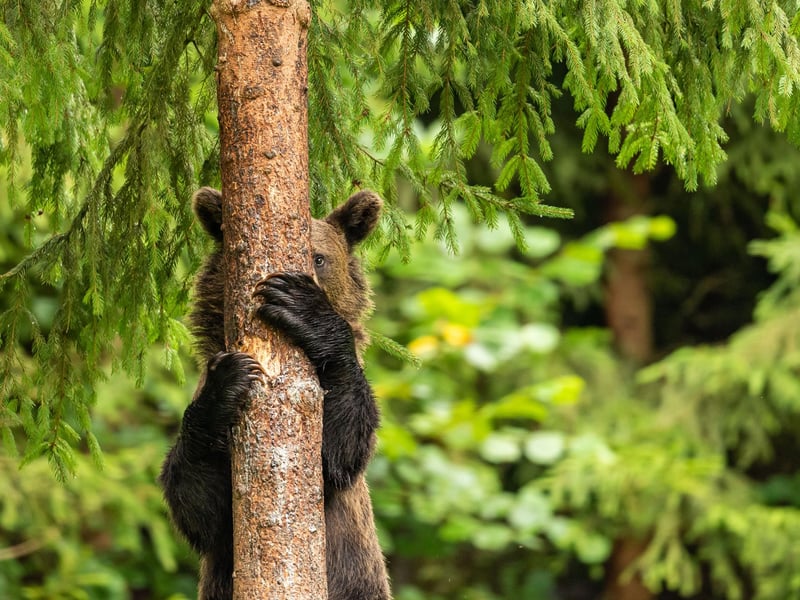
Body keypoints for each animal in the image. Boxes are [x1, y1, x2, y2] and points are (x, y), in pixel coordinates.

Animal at [159, 186, 391, 600]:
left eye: (320, 257)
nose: (303, 277)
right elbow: (198, 503)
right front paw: (227, 382)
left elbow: (339, 450)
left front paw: (302, 306)